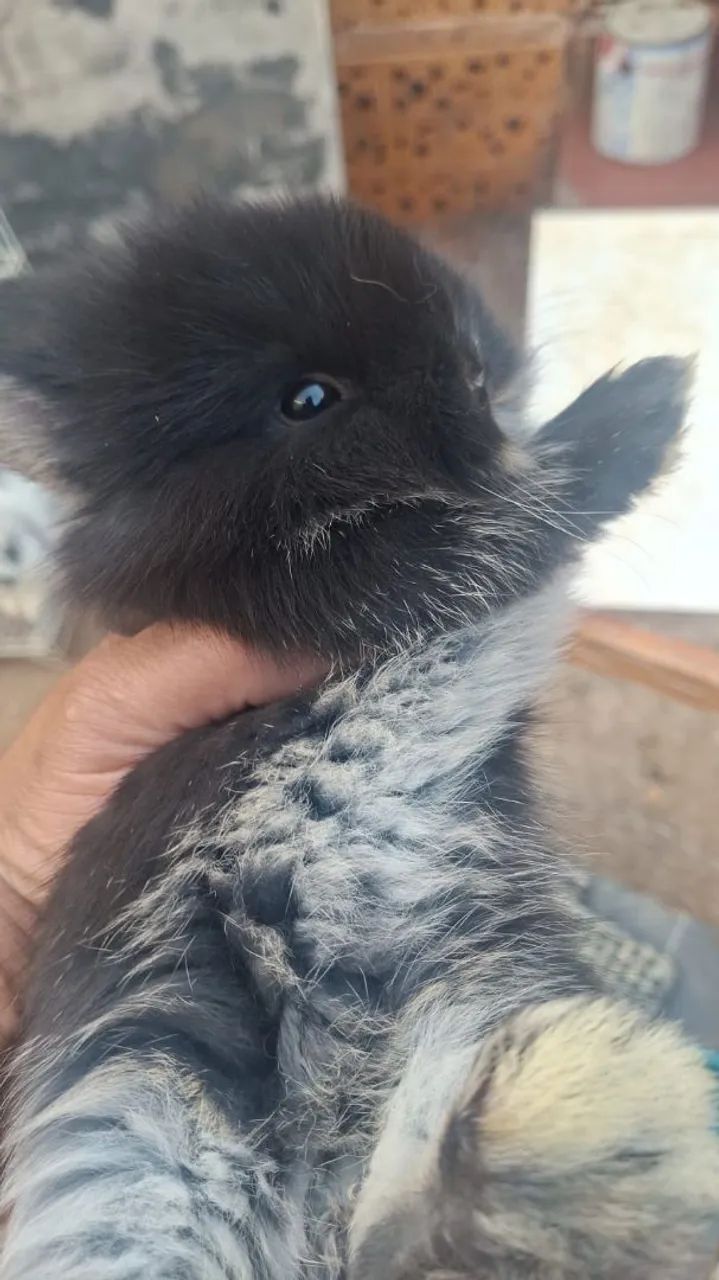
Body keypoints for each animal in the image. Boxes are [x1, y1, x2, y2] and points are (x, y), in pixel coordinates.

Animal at [0, 196, 716, 1280]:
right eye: (307, 399)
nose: (472, 366)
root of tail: (322, 1212)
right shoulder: (368, 584)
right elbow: (520, 519)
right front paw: (650, 398)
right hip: (150, 1113)